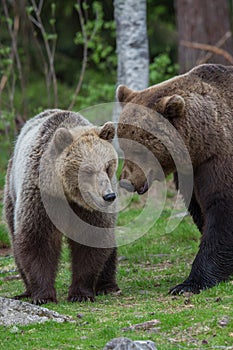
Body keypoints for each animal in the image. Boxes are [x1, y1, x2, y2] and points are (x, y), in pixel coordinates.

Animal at [3, 108, 120, 304]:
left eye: (108, 166)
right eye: (87, 170)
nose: (108, 196)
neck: (67, 194)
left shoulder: (90, 210)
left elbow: (92, 239)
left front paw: (80, 294)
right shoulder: (42, 198)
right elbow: (37, 239)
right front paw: (43, 296)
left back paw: (108, 286)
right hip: (11, 191)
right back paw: (27, 291)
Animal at [117, 63, 233, 296]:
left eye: (141, 149)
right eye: (123, 145)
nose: (126, 182)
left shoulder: (219, 160)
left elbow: (221, 209)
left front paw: (189, 284)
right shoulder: (191, 172)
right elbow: (200, 210)